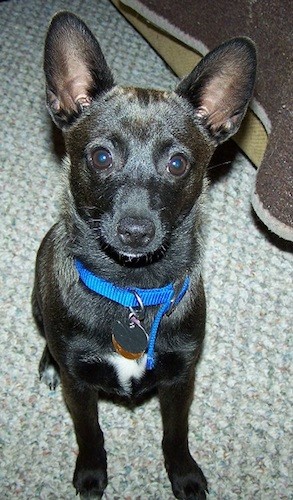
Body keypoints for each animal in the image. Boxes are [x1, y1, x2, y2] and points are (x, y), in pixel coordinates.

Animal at [32, 11, 256, 500]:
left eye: (178, 164)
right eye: (100, 157)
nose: (135, 230)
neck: (131, 291)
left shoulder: (180, 380)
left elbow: (175, 433)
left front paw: (184, 474)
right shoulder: (80, 388)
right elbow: (89, 432)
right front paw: (91, 473)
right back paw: (48, 363)